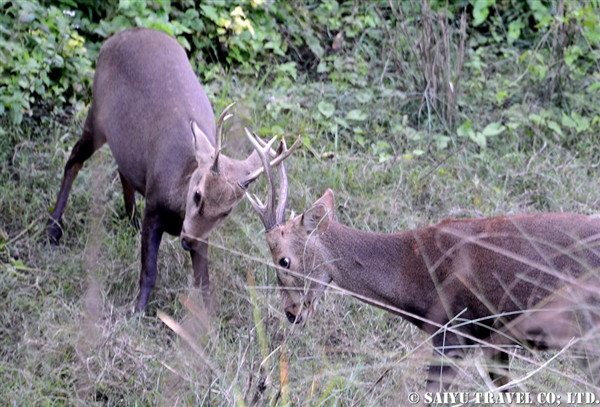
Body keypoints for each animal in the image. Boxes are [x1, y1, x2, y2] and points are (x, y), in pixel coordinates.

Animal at [48, 27, 296, 310]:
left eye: (226, 212)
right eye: (197, 194)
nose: (187, 240)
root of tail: (117, 36)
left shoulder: (203, 235)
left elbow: (203, 281)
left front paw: (208, 317)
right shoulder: (154, 208)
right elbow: (149, 271)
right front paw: (138, 310)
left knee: (122, 168)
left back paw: (130, 220)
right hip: (97, 113)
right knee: (73, 160)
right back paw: (53, 229)